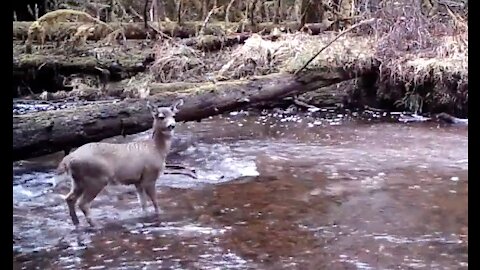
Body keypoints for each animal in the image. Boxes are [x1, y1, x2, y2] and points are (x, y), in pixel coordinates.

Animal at [54, 99, 184, 228]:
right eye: (161, 117)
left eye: (174, 115)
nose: (172, 125)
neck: (156, 149)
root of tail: (69, 158)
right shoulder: (149, 175)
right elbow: (155, 202)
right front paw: (159, 215)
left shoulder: (138, 181)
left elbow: (143, 205)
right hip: (96, 178)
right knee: (83, 203)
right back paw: (95, 225)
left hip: (78, 180)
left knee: (69, 198)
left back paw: (77, 224)